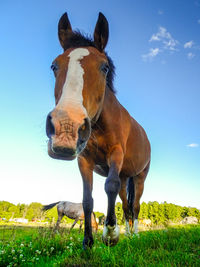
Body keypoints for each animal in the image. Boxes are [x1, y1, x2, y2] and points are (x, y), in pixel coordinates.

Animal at [46, 11, 150, 248]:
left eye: (104, 67)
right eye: (54, 66)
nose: (67, 128)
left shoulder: (116, 154)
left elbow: (109, 186)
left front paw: (110, 234)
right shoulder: (84, 161)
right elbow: (87, 199)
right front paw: (88, 242)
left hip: (139, 176)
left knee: (135, 205)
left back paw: (135, 234)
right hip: (125, 177)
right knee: (127, 205)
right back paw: (128, 233)